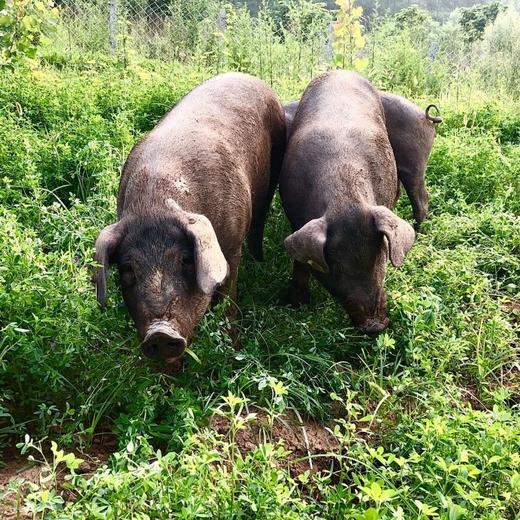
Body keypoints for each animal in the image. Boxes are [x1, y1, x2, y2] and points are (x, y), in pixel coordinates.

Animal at [93, 73, 284, 364]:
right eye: (128, 268)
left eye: (185, 260)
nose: (160, 333)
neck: (154, 205)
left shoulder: (231, 247)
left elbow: (227, 296)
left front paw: (233, 347)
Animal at [280, 71, 414, 334]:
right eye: (337, 267)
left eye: (380, 256)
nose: (374, 325)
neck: (344, 196)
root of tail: (340, 71)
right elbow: (300, 264)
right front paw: (293, 304)